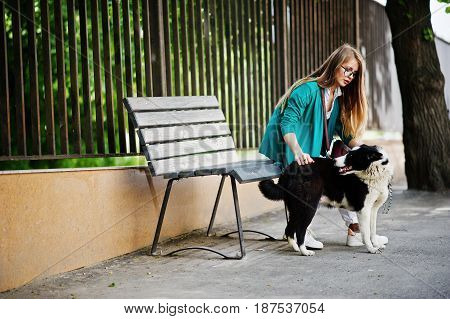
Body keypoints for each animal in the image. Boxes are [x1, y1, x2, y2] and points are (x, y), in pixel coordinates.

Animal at [258, 145, 392, 258]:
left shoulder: (373, 209)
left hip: (296, 208)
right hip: (309, 207)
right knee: (300, 231)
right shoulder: (363, 210)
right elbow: (367, 232)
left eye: (351, 156)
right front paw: (371, 248)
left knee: (289, 229)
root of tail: (289, 169)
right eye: (348, 154)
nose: (334, 161)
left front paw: (376, 244)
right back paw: (304, 251)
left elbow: (372, 230)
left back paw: (296, 248)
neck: (373, 171)